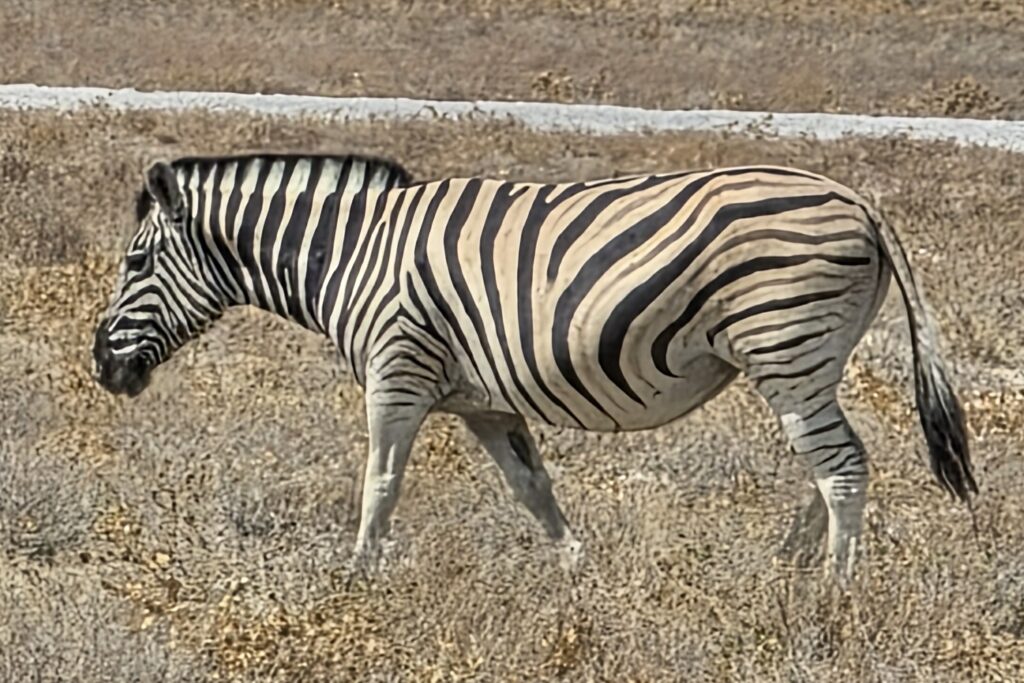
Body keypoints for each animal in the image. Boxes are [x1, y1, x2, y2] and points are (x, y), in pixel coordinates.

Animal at [92, 152, 977, 583]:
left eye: (135, 262)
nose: (102, 366)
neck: (353, 253)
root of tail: (858, 198)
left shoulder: (397, 369)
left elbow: (380, 481)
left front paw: (356, 576)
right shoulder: (483, 400)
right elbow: (531, 485)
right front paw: (574, 567)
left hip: (787, 345)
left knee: (841, 465)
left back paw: (832, 590)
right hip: (799, 360)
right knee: (824, 464)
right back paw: (788, 566)